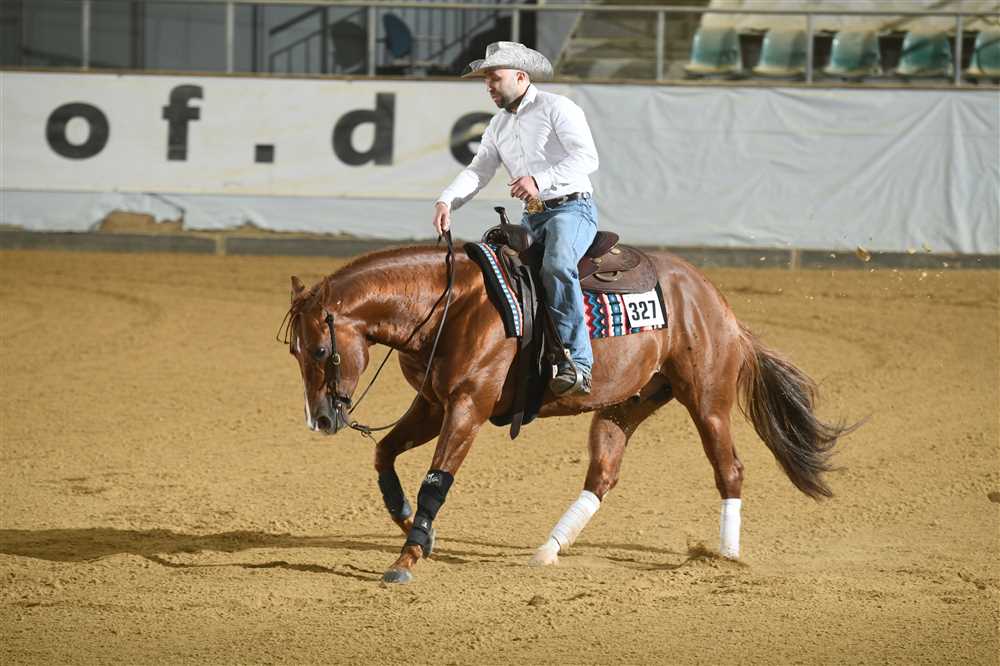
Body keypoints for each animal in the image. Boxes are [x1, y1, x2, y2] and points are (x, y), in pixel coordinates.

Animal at [283, 240, 855, 584]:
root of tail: (719, 305)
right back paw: (549, 549)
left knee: (729, 469)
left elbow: (435, 482)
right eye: (293, 350)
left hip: (708, 400)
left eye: (321, 350)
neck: (456, 305)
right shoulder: (432, 403)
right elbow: (384, 455)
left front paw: (406, 559)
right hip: (625, 407)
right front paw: (412, 527)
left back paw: (727, 557)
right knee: (602, 475)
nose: (320, 420)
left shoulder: (468, 405)